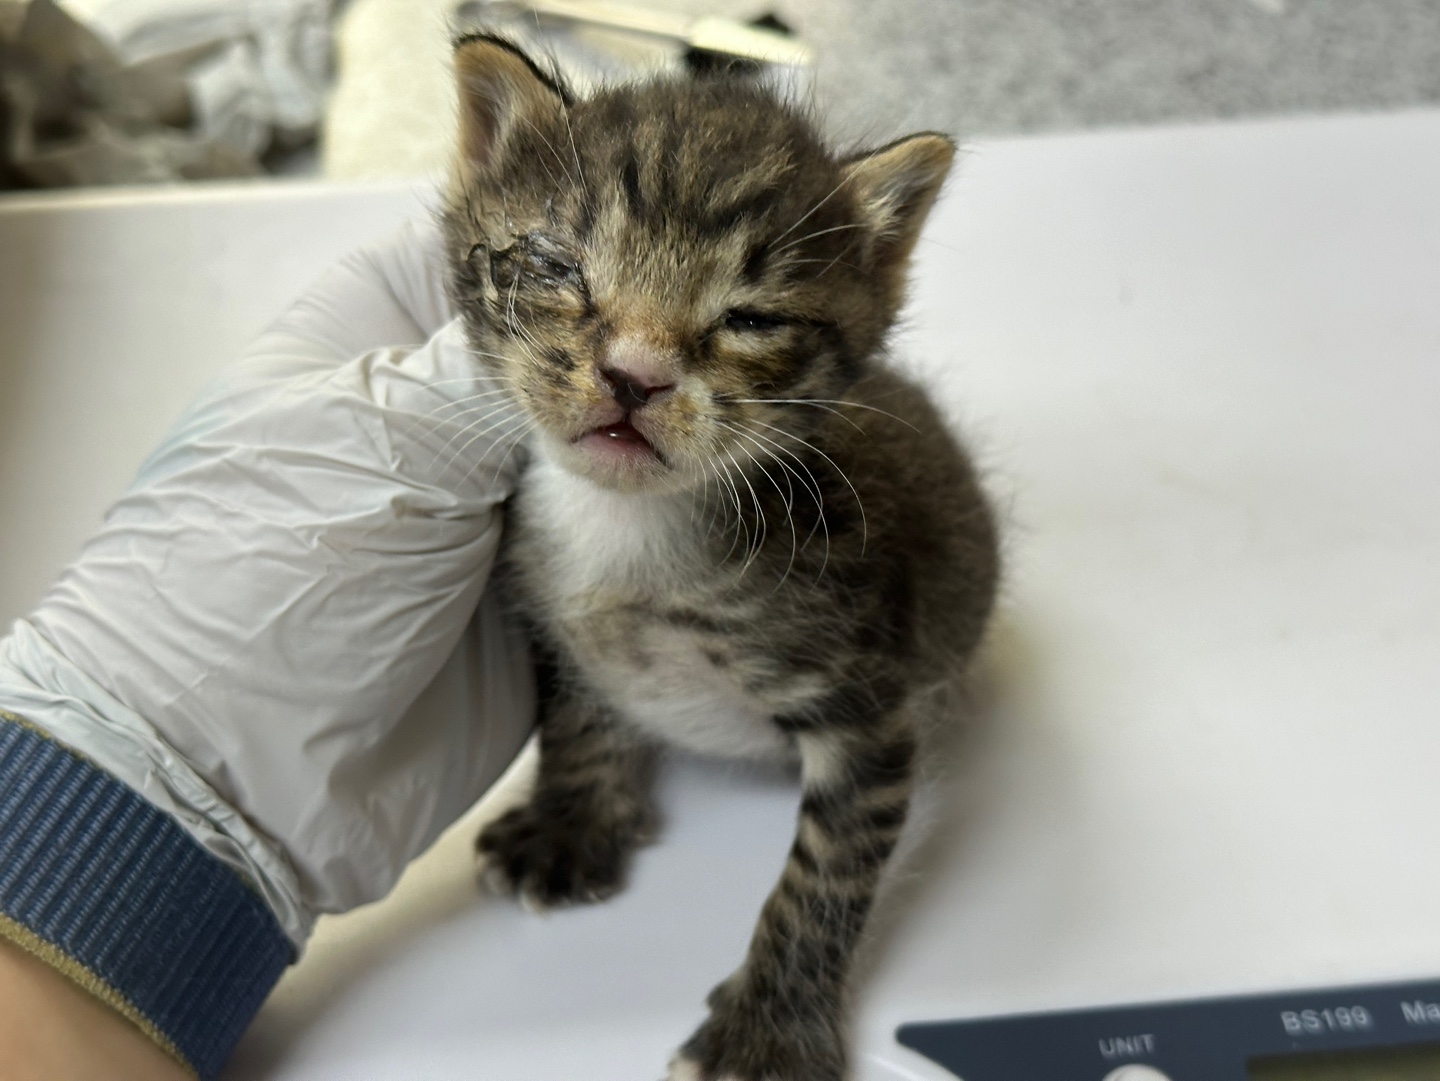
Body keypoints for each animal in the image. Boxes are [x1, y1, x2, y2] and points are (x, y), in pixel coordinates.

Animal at [443, 33, 996, 1081]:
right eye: (556, 263)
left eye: (751, 317)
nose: (635, 375)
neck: (628, 530)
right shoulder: (562, 624)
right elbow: (578, 715)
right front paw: (573, 816)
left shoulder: (866, 709)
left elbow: (824, 874)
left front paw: (769, 1026)